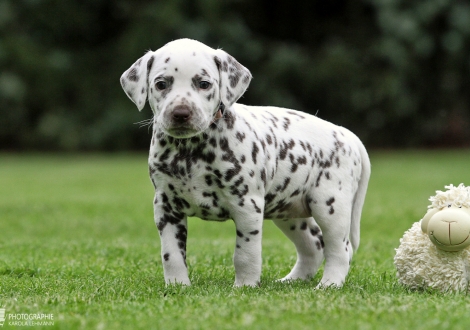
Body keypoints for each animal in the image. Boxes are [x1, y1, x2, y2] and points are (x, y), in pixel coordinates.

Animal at [119, 38, 370, 286]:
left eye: (204, 84)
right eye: (161, 84)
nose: (181, 113)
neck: (190, 152)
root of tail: (346, 133)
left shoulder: (247, 205)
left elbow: (245, 254)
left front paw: (245, 286)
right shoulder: (166, 207)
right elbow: (171, 254)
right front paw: (177, 286)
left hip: (330, 206)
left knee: (340, 249)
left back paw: (329, 284)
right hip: (289, 212)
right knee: (313, 245)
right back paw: (292, 280)